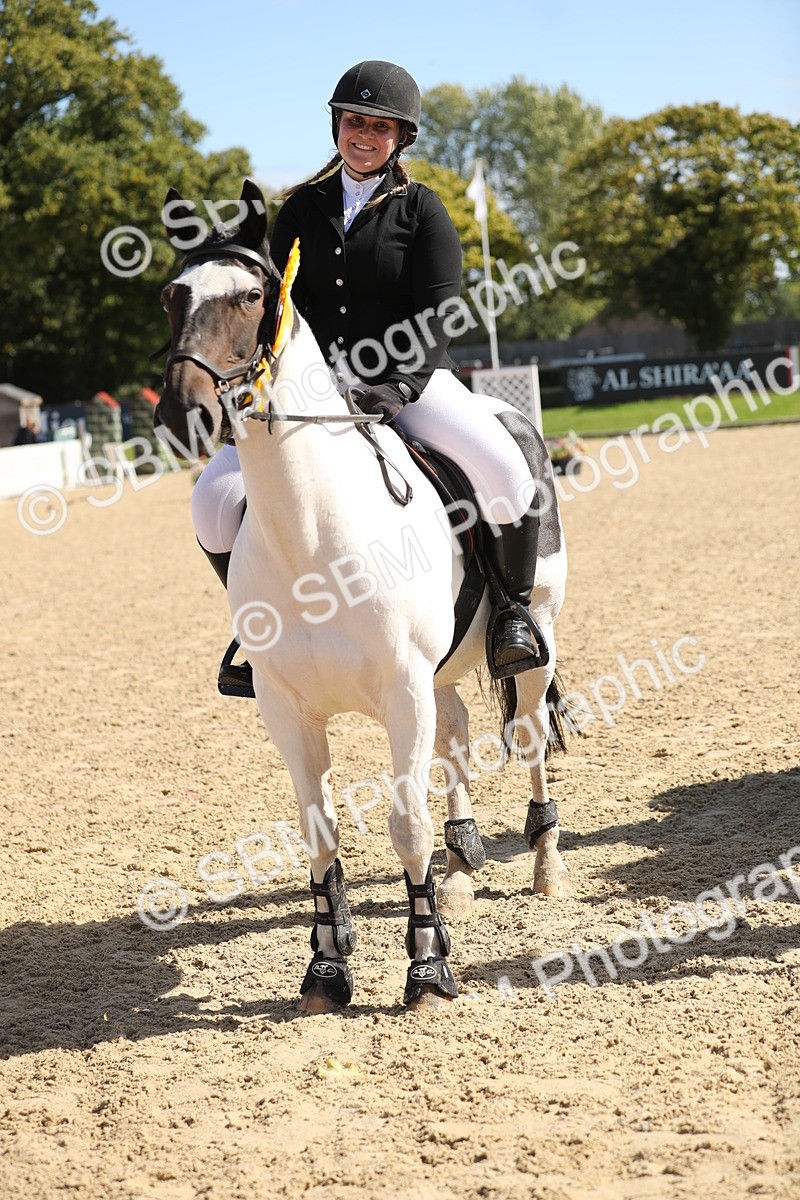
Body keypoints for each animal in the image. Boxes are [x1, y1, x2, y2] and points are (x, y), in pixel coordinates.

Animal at [155, 180, 570, 1012]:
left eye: (252, 295)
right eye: (171, 296)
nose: (185, 415)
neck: (312, 528)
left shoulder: (400, 688)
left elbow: (404, 823)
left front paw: (428, 971)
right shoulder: (288, 705)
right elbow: (319, 830)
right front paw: (326, 967)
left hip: (534, 629)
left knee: (530, 732)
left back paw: (544, 862)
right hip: (438, 676)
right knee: (456, 734)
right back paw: (463, 869)